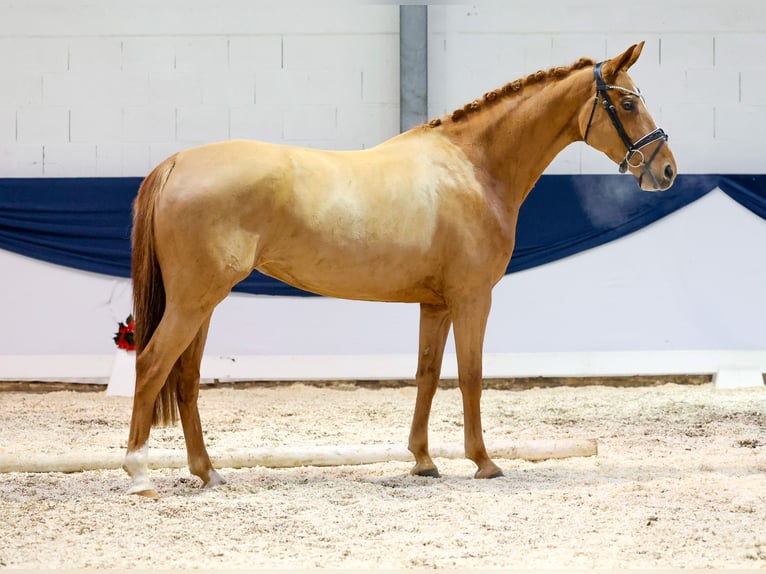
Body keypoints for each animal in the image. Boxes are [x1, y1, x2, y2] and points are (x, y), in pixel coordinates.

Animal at [126, 42, 680, 498]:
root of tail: (176, 163)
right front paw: (483, 462)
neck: (472, 167)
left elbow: (427, 375)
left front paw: (423, 461)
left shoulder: (434, 303)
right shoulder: (473, 297)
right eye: (627, 104)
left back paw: (208, 472)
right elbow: (472, 375)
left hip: (202, 302)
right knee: (152, 365)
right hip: (195, 299)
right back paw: (138, 475)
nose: (667, 170)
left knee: (186, 376)